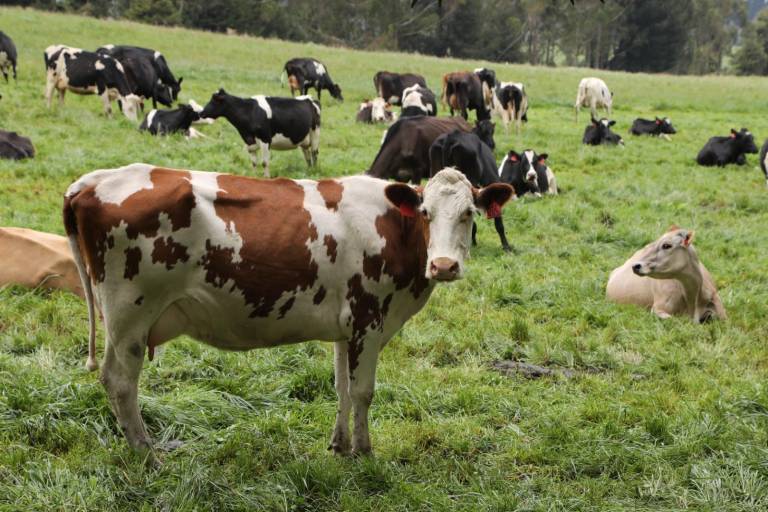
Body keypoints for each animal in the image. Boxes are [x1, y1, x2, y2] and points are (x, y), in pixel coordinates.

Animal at [63, 163, 513, 462]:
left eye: (469, 213)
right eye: (425, 214)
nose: (444, 265)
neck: (393, 229)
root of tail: (94, 180)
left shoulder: (346, 328)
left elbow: (342, 389)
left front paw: (339, 445)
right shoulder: (369, 320)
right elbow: (364, 392)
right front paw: (364, 452)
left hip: (121, 320)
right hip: (130, 314)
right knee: (121, 383)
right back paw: (146, 454)